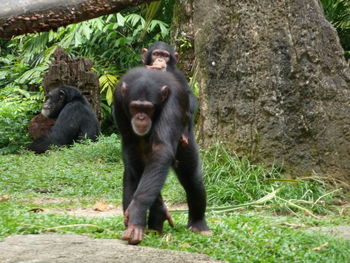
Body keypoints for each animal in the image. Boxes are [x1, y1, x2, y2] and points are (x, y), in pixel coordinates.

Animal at [113, 67, 209, 245]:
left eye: (148, 108)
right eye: (135, 107)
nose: (141, 117)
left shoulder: (173, 102)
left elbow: (161, 149)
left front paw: (137, 211)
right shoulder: (118, 101)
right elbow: (133, 149)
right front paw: (154, 213)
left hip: (186, 142)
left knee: (192, 179)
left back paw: (198, 225)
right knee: (131, 174)